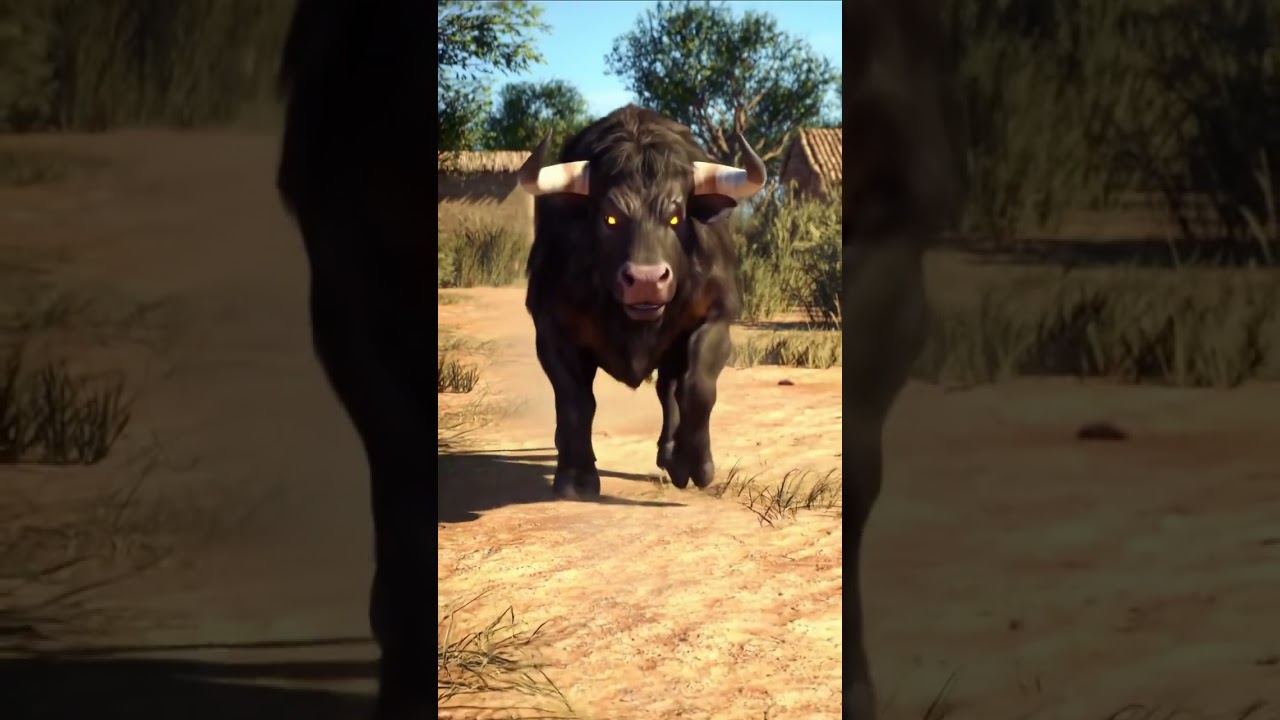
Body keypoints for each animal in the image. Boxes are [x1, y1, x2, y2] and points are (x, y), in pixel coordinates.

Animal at [516, 105, 766, 498]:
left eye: (676, 217)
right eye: (610, 217)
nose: (646, 281)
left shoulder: (715, 319)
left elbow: (697, 388)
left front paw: (695, 465)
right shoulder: (552, 329)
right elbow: (575, 401)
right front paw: (575, 477)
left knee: (670, 389)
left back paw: (671, 456)